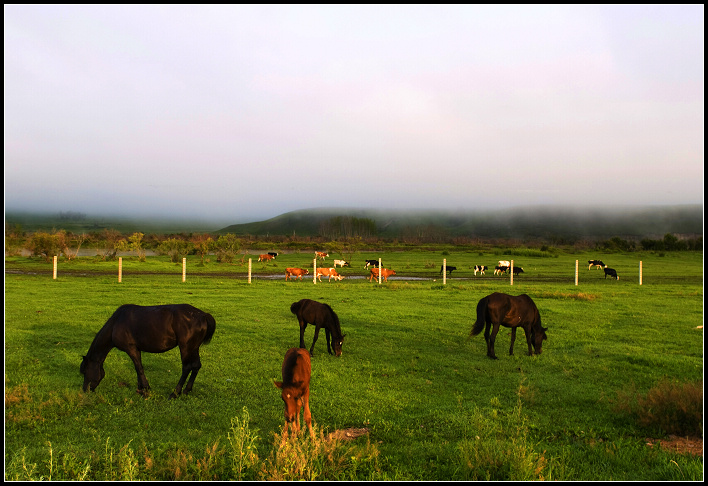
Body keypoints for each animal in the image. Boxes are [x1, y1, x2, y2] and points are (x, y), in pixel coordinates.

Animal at [80, 304, 216, 398]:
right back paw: (187, 390)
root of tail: (203, 315)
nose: (85, 390)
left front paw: (145, 388)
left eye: (84, 371)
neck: (115, 324)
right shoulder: (136, 349)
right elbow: (138, 368)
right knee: (196, 366)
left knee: (187, 367)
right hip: (194, 348)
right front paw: (140, 388)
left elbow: (139, 368)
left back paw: (175, 393)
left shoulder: (130, 348)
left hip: (186, 348)